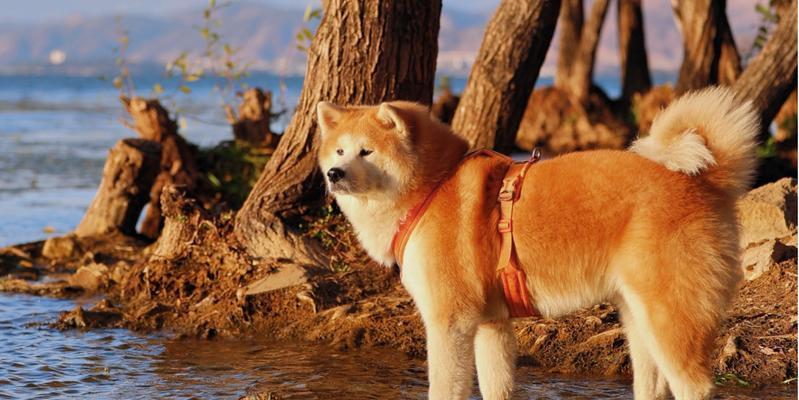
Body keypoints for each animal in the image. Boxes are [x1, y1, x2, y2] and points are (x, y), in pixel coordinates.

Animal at [316, 87, 760, 400]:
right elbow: (496, 387)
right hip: (638, 317)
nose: (334, 174)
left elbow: (444, 387)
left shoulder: (450, 322)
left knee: (692, 384)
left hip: (670, 315)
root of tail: (706, 182)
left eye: (366, 151)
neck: (432, 187)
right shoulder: (492, 323)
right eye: (338, 150)